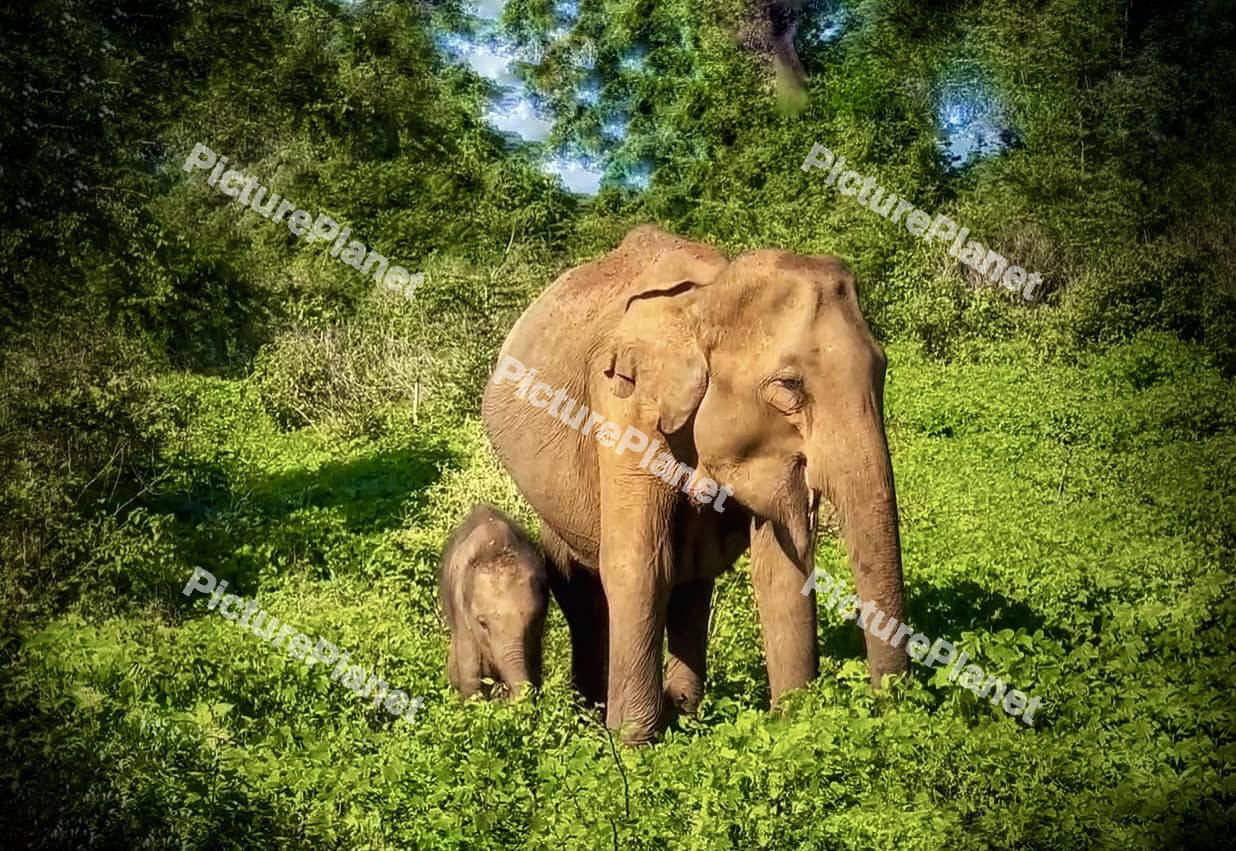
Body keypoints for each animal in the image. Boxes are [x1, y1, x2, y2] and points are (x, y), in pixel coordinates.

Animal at [481, 225, 908, 742]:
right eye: (789, 386)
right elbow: (638, 563)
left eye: (882, 369)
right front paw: (634, 744)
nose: (890, 702)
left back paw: (686, 711)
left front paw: (791, 725)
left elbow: (779, 568)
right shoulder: (625, 403)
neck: (706, 299)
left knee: (692, 580)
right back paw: (594, 714)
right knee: (581, 584)